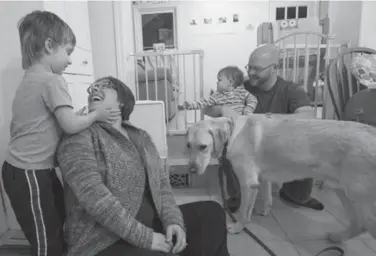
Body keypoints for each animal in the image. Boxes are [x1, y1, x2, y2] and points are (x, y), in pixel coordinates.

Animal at [187, 113, 376, 243]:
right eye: (188, 145)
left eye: (203, 147)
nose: (191, 170)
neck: (234, 132)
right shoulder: (262, 179)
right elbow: (266, 197)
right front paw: (263, 210)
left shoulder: (248, 184)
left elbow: (243, 212)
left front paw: (238, 227)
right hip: (345, 193)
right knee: (359, 225)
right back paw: (338, 237)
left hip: (363, 203)